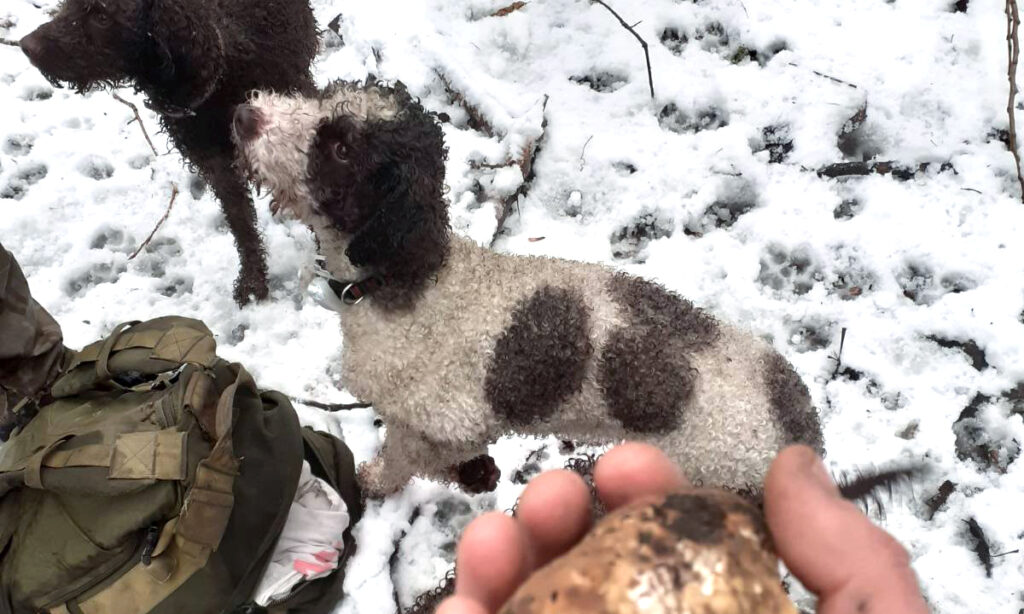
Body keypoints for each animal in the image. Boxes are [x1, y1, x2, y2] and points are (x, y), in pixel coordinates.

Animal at [232, 79, 823, 499]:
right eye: (322, 95)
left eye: (342, 149)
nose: (242, 114)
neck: (414, 282)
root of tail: (799, 423)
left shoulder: (443, 424)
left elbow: (408, 460)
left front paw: (385, 480)